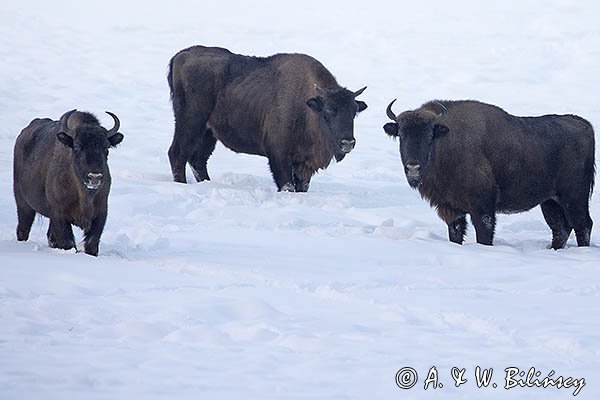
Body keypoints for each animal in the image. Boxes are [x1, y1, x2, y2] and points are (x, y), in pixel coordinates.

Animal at [13, 109, 123, 256]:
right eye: (77, 147)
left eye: (106, 148)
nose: (94, 177)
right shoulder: (60, 215)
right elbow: (68, 242)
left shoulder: (100, 214)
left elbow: (92, 243)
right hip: (23, 204)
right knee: (23, 229)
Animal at [166, 44, 368, 191]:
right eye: (327, 112)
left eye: (354, 112)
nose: (347, 143)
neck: (308, 108)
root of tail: (182, 55)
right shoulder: (279, 155)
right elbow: (286, 185)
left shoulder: (304, 165)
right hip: (190, 123)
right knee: (178, 153)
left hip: (209, 132)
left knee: (198, 160)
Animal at [382, 99, 592, 250]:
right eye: (401, 135)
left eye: (429, 136)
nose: (413, 167)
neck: (447, 142)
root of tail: (584, 124)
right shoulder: (451, 210)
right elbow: (455, 233)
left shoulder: (482, 208)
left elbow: (484, 235)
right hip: (549, 201)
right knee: (561, 228)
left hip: (573, 198)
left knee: (583, 225)